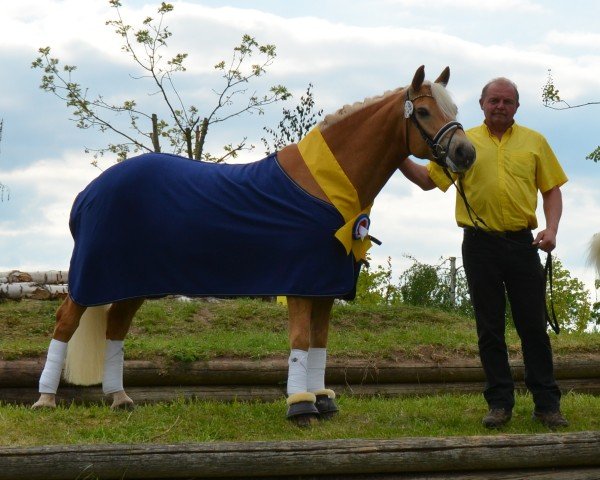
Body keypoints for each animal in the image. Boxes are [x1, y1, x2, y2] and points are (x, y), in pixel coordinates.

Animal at [32, 65, 476, 426]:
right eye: (423, 113)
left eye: (454, 110)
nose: (466, 152)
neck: (326, 189)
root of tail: (89, 192)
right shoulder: (300, 283)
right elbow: (300, 341)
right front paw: (301, 407)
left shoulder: (325, 287)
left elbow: (320, 342)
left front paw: (323, 400)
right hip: (92, 277)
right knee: (66, 321)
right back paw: (45, 400)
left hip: (132, 283)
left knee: (116, 327)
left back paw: (119, 398)